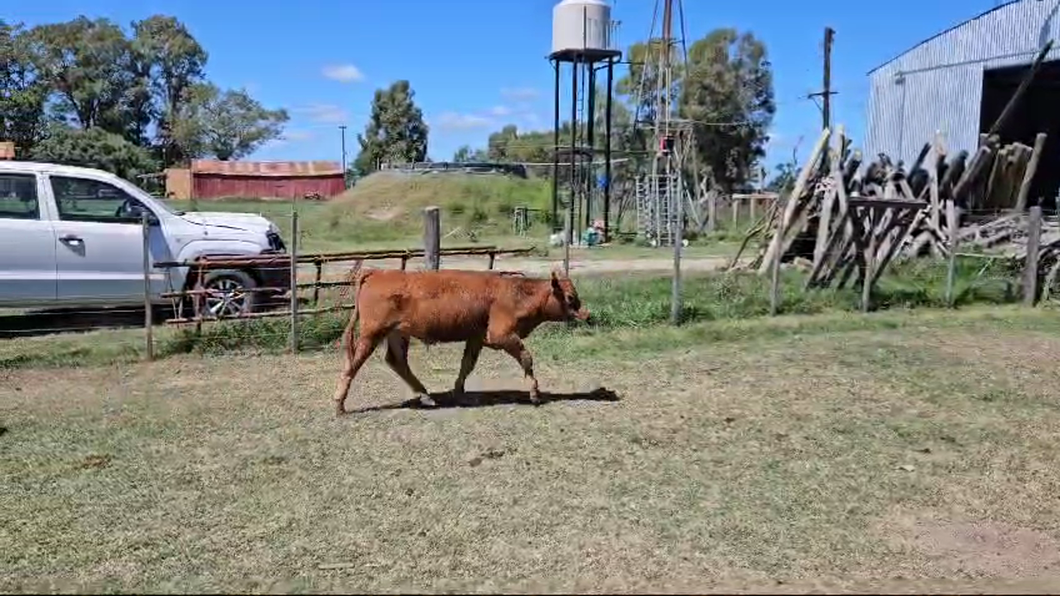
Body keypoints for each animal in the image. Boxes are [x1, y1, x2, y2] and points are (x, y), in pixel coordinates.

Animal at [332, 264, 589, 413]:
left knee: (397, 362)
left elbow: (467, 365)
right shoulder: (502, 335)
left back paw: (426, 396)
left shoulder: (476, 337)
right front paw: (535, 394)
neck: (516, 293)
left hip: (396, 334)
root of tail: (377, 272)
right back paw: (339, 403)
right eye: (570, 297)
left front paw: (458, 393)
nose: (587, 314)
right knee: (354, 364)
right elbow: (526, 358)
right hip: (371, 334)